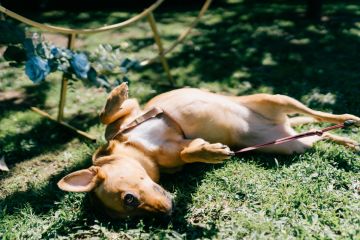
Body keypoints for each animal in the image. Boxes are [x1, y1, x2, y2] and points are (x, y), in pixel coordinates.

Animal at [57, 83, 358, 218]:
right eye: (134, 212)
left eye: (128, 199)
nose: (168, 212)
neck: (139, 149)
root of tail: (282, 125)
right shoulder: (179, 150)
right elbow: (189, 153)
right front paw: (211, 152)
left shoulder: (132, 113)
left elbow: (107, 116)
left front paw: (115, 95)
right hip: (292, 145)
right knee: (321, 135)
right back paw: (351, 141)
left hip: (279, 99)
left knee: (318, 115)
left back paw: (349, 118)